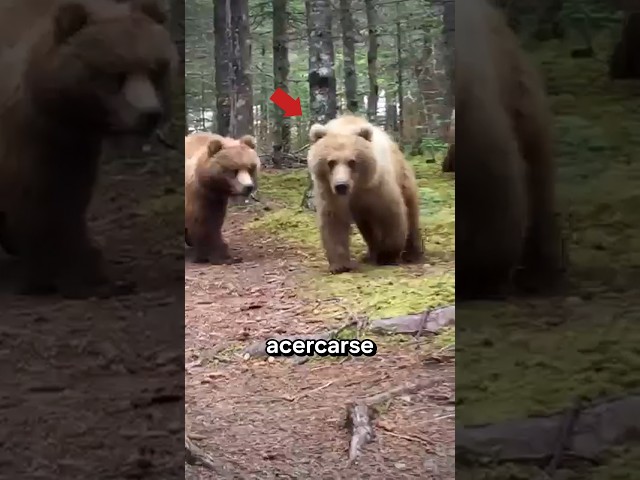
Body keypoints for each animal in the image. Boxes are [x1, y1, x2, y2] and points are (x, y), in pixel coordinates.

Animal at [0, 0, 178, 297]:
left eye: (156, 70)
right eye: (117, 75)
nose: (150, 114)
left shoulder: (74, 145)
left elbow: (71, 198)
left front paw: (89, 270)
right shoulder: (28, 135)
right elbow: (32, 194)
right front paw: (41, 275)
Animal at [184, 132, 260, 264]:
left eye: (250, 167)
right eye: (234, 170)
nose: (248, 187)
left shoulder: (216, 199)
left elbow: (214, 222)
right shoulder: (197, 196)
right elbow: (200, 222)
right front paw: (206, 255)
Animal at [307, 115, 424, 274]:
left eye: (352, 161)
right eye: (331, 162)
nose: (341, 185)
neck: (355, 188)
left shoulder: (377, 187)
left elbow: (391, 214)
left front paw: (387, 256)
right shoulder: (329, 192)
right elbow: (333, 220)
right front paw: (340, 265)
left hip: (403, 178)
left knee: (411, 212)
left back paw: (413, 253)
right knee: (368, 228)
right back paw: (371, 253)